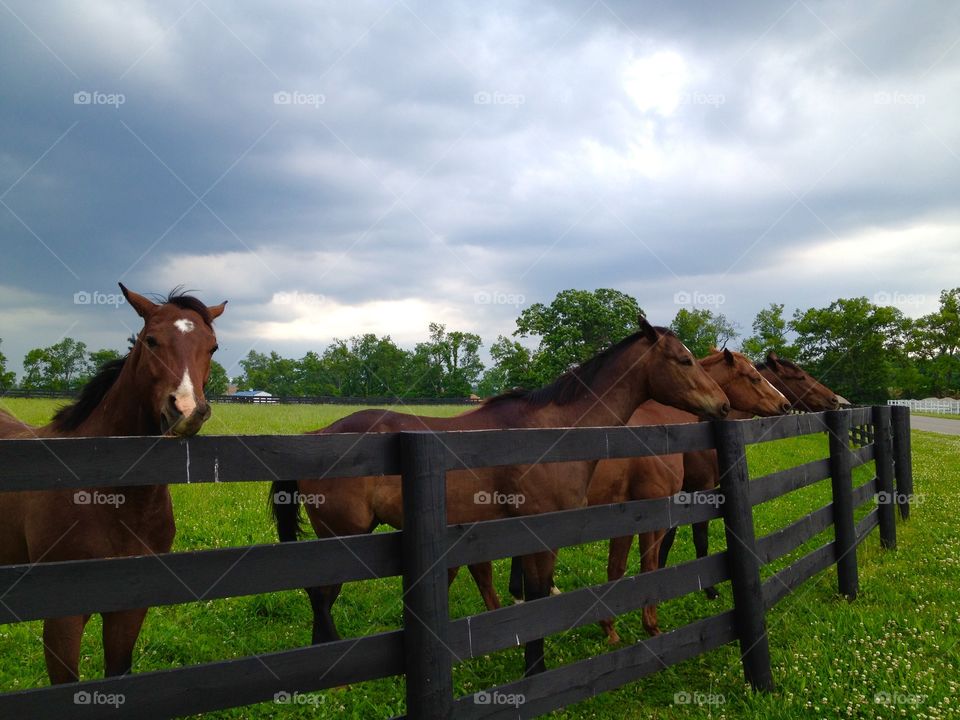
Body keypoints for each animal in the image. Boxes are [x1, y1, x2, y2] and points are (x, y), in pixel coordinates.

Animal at [270, 320, 728, 676]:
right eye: (683, 360)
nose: (722, 405)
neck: (550, 430)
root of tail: (314, 436)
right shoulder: (539, 534)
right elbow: (536, 596)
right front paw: (535, 670)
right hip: (340, 539)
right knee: (322, 597)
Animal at [656, 352, 836, 596]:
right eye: (800, 377)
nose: (834, 400)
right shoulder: (700, 489)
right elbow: (698, 538)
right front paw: (709, 590)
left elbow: (667, 539)